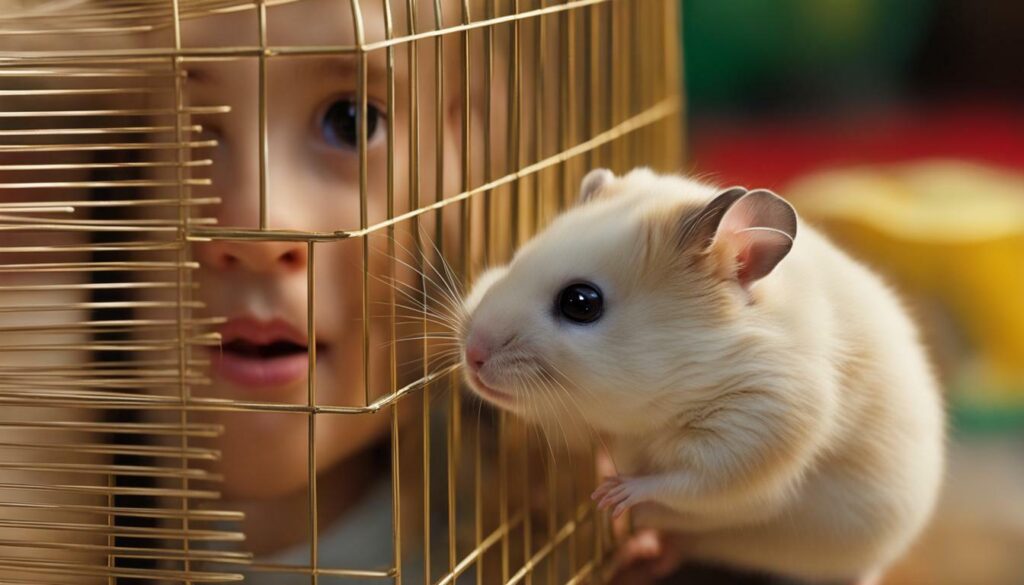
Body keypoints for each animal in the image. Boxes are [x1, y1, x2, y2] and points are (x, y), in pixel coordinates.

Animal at [458, 168, 945, 582]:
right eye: (517, 260)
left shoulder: (760, 429)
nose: (472, 355)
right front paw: (603, 480)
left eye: (581, 302)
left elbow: (693, 482)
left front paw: (612, 494)